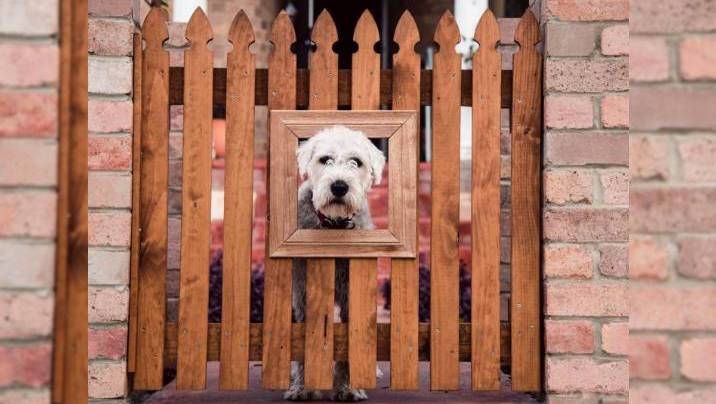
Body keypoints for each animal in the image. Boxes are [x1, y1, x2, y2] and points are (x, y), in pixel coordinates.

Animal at [286, 125, 386, 400]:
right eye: (324, 159)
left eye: (357, 162)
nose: (339, 186)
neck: (334, 227)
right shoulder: (303, 292)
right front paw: (303, 387)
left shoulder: (352, 291)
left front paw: (349, 388)